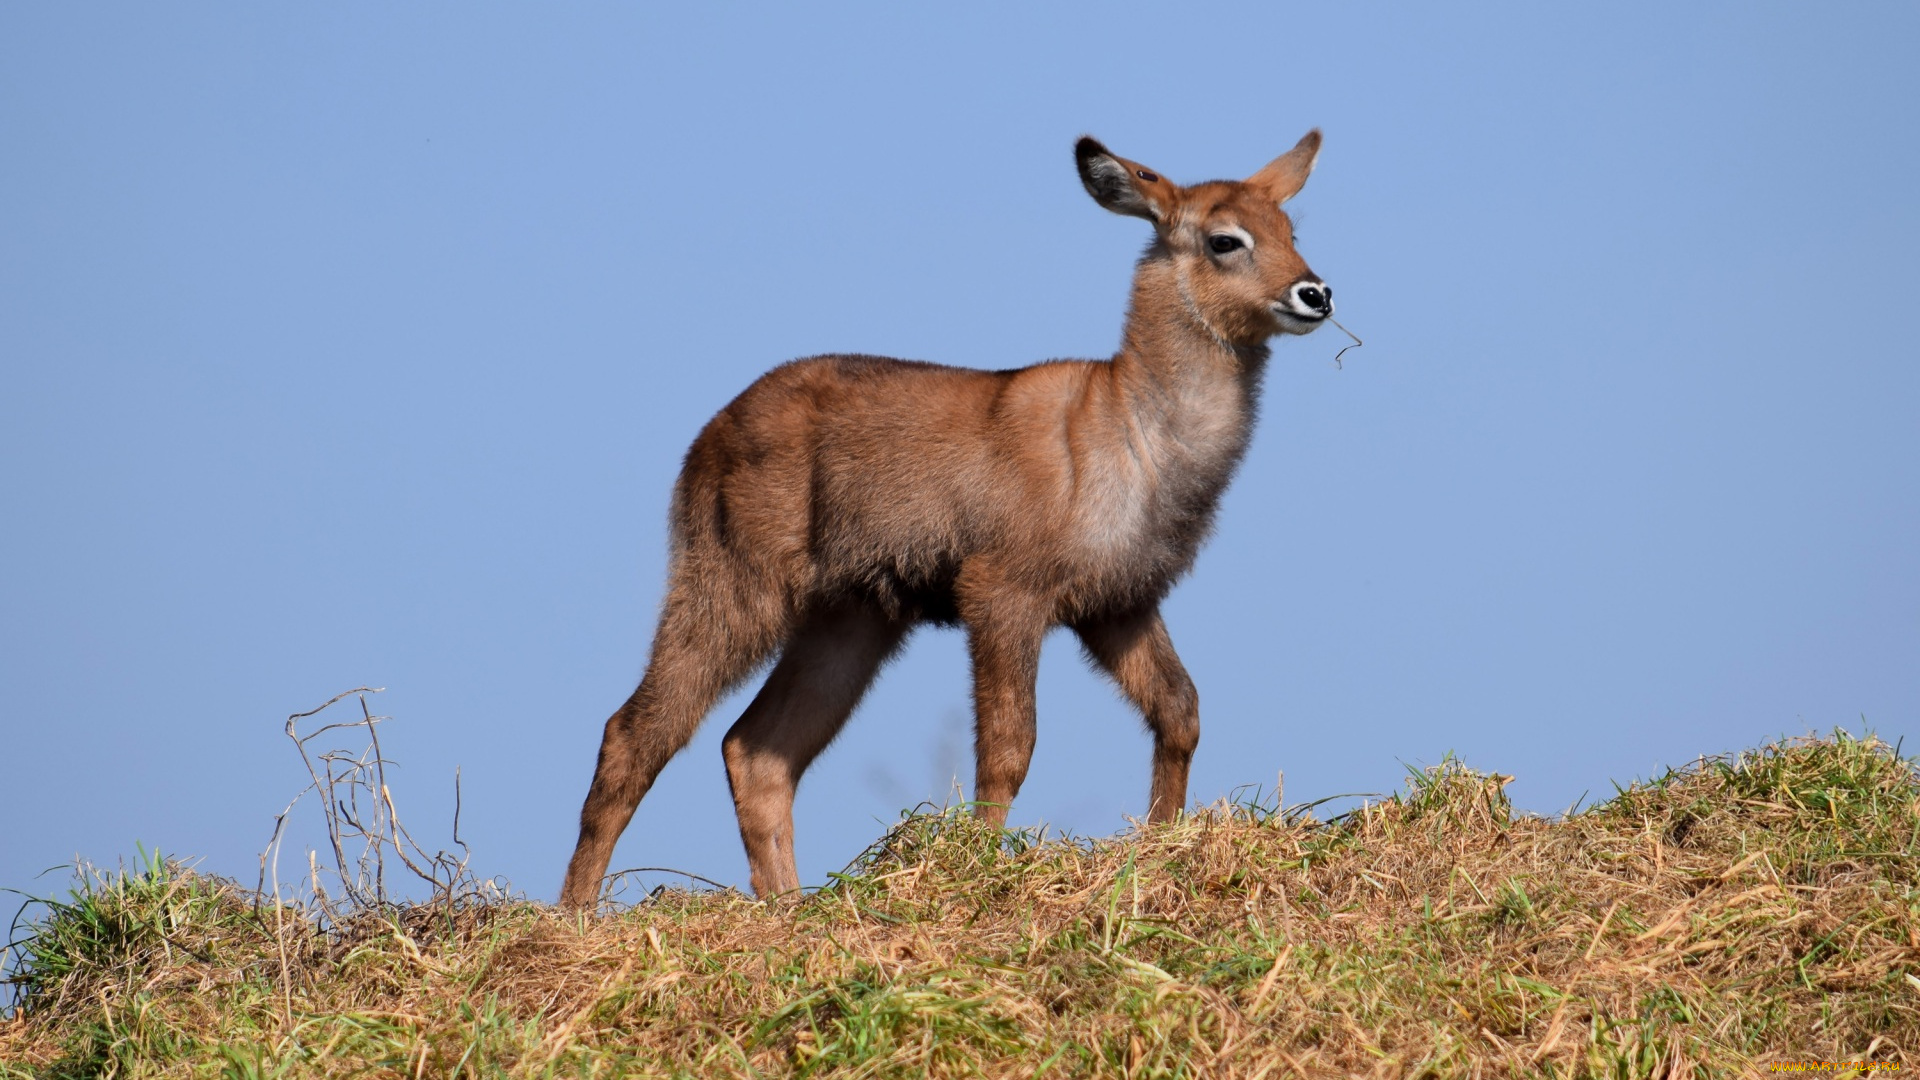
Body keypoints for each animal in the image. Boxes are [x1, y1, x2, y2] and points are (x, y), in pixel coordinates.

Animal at [556, 130, 1336, 903]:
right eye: (1225, 239)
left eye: (1291, 231)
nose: (1317, 293)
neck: (1136, 435)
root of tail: (704, 439)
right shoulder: (1001, 588)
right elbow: (1009, 747)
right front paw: (983, 865)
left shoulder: (1120, 600)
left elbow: (1181, 712)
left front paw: (1162, 843)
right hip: (734, 582)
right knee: (635, 729)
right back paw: (576, 912)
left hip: (852, 615)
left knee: (757, 749)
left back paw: (787, 905)